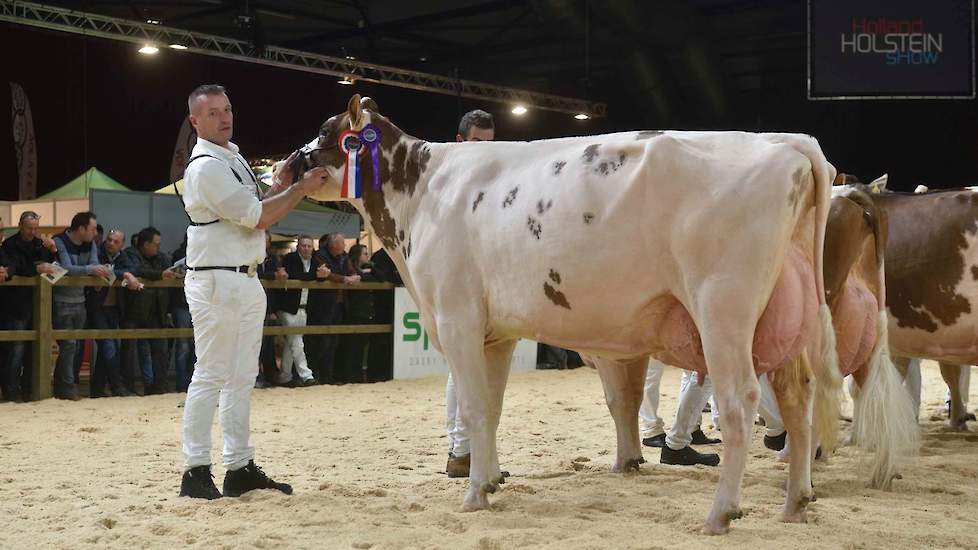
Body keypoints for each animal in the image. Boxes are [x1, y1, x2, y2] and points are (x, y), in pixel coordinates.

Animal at [290, 97, 840, 536]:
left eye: (325, 130)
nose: (286, 166)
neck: (423, 191)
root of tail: (784, 142)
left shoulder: (456, 316)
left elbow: (473, 407)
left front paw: (474, 494)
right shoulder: (495, 333)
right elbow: (492, 407)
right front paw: (491, 478)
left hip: (724, 307)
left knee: (739, 401)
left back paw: (721, 513)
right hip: (785, 315)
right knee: (799, 396)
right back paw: (796, 501)